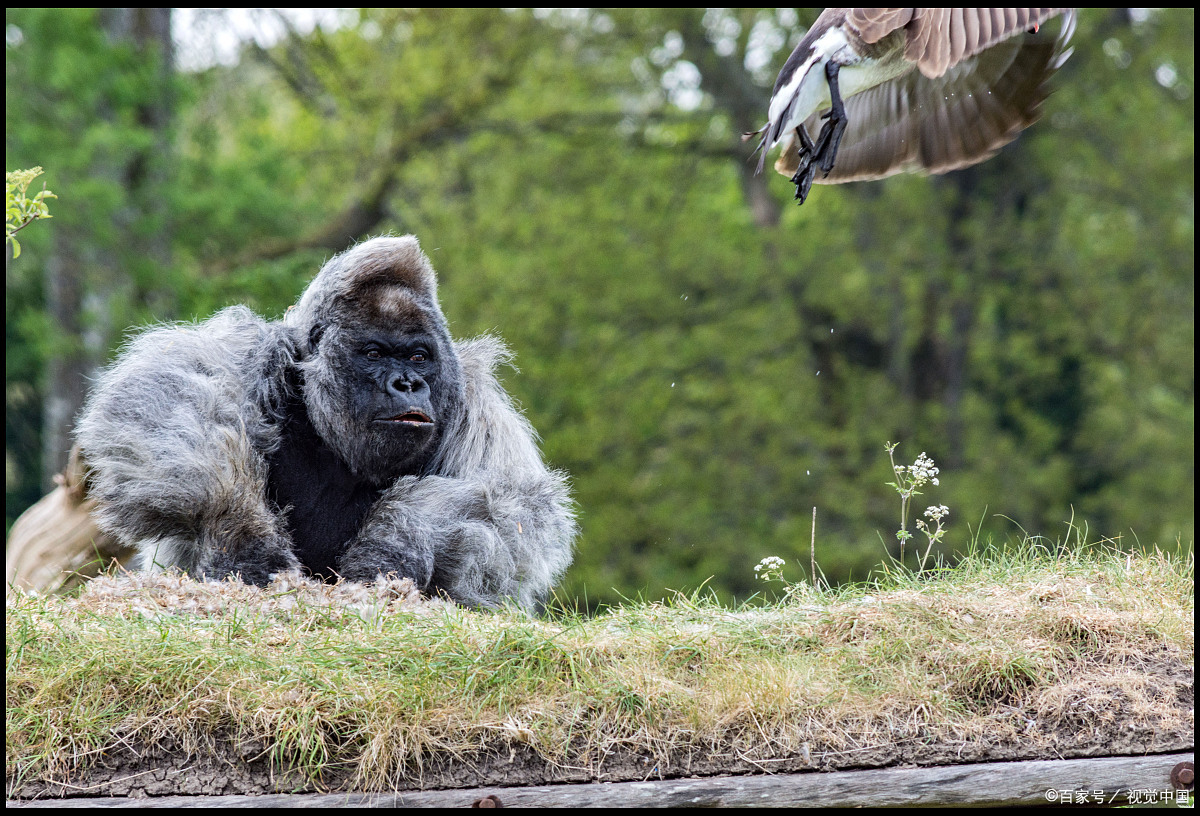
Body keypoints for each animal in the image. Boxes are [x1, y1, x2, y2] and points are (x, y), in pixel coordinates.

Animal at [75, 232, 576, 609]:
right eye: (374, 353)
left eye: (418, 356)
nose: (408, 383)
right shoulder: (254, 351)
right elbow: (166, 395)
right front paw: (243, 540)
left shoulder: (474, 402)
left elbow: (512, 506)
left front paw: (393, 544)